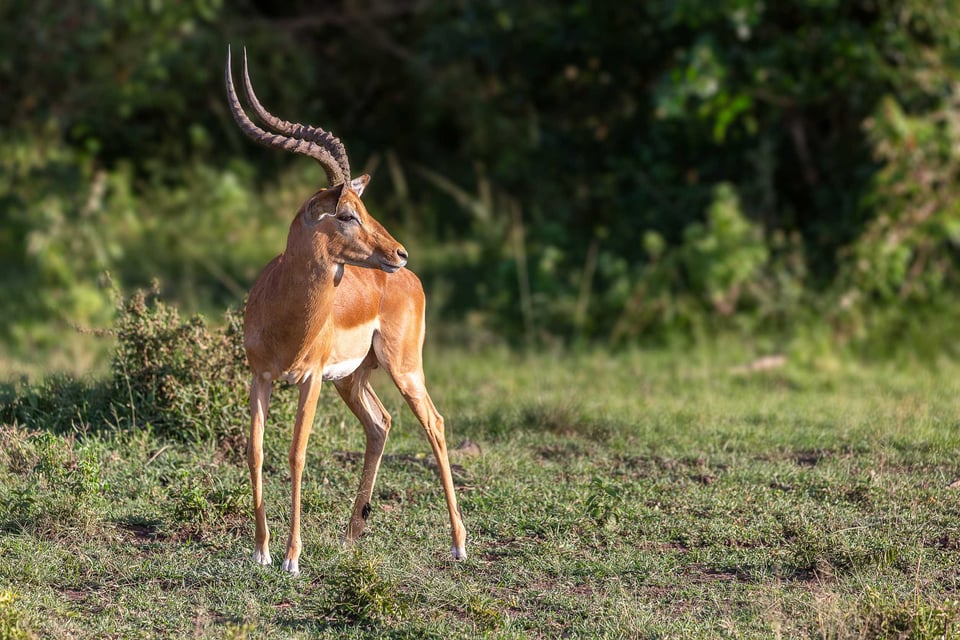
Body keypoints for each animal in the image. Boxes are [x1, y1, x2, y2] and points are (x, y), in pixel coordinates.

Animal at [225, 46, 467, 574]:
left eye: (362, 206)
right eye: (346, 212)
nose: (399, 252)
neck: (286, 316)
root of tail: (413, 281)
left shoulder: (310, 378)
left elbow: (296, 454)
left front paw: (292, 557)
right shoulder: (260, 377)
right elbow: (255, 451)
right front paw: (261, 550)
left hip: (403, 368)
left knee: (435, 424)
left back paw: (460, 544)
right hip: (354, 378)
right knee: (381, 424)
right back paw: (351, 535)